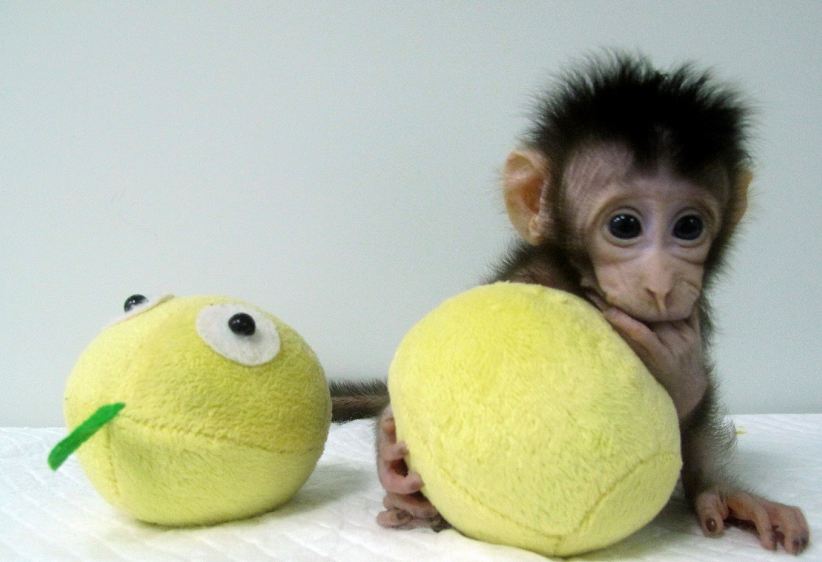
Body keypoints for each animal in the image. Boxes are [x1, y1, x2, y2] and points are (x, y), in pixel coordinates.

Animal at [330, 52, 810, 554]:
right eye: (624, 225)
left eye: (689, 227)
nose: (662, 283)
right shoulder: (529, 277)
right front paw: (391, 456)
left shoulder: (697, 311)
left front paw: (722, 487)